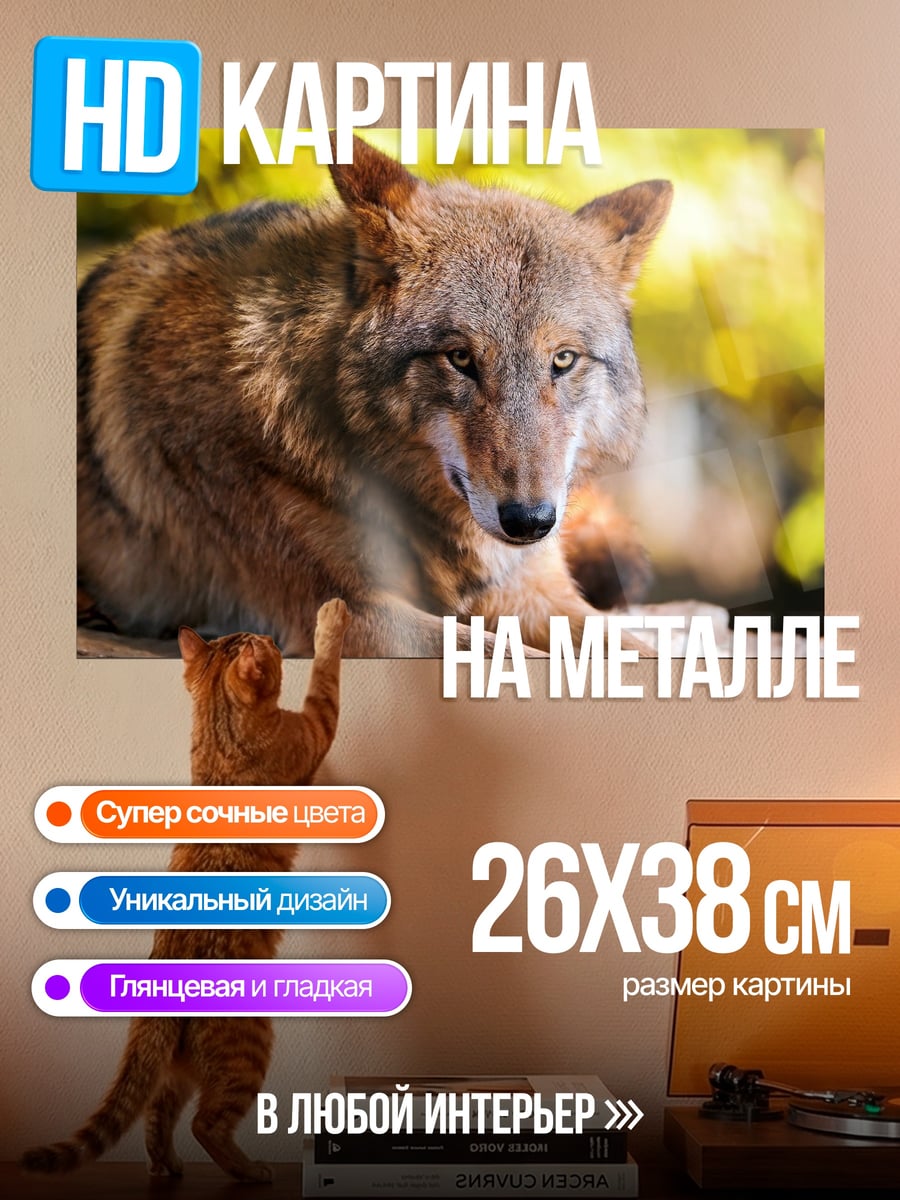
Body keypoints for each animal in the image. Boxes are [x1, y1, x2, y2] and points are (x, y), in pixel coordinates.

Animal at [77, 135, 671, 656]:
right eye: (460, 358)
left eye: (563, 360)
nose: (529, 521)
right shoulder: (350, 611)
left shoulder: (530, 589)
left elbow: (639, 652)